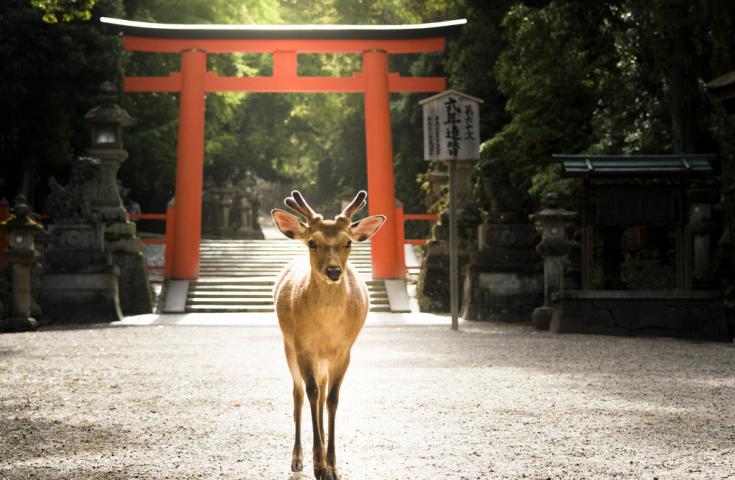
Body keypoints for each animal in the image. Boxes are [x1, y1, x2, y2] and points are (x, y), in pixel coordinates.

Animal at [270, 190, 386, 480]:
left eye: (348, 242)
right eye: (313, 242)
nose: (333, 271)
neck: (326, 328)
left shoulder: (345, 351)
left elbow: (332, 400)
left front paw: (332, 464)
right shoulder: (303, 347)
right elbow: (310, 393)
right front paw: (319, 464)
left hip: (324, 361)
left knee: (322, 395)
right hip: (289, 347)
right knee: (299, 394)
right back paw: (298, 458)